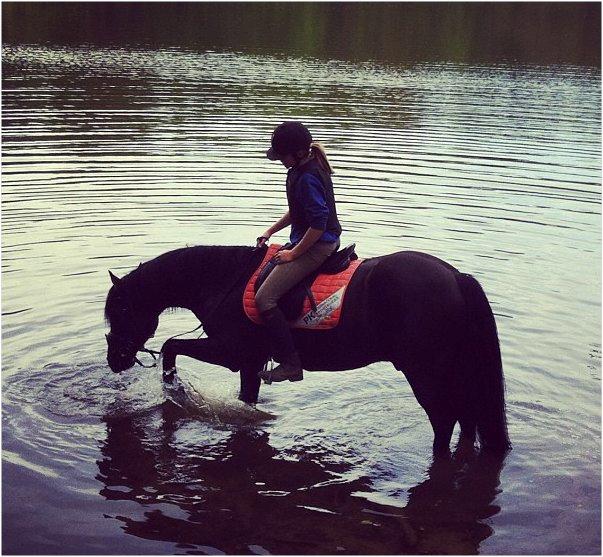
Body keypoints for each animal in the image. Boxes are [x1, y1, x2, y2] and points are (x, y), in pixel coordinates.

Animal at [106, 245, 512, 454]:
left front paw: (174, 388)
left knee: (445, 420)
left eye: (122, 310)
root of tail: (456, 278)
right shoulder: (251, 363)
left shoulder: (232, 352)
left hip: (427, 373)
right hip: (456, 370)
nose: (114, 361)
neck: (222, 280)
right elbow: (246, 403)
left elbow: (171, 346)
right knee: (468, 420)